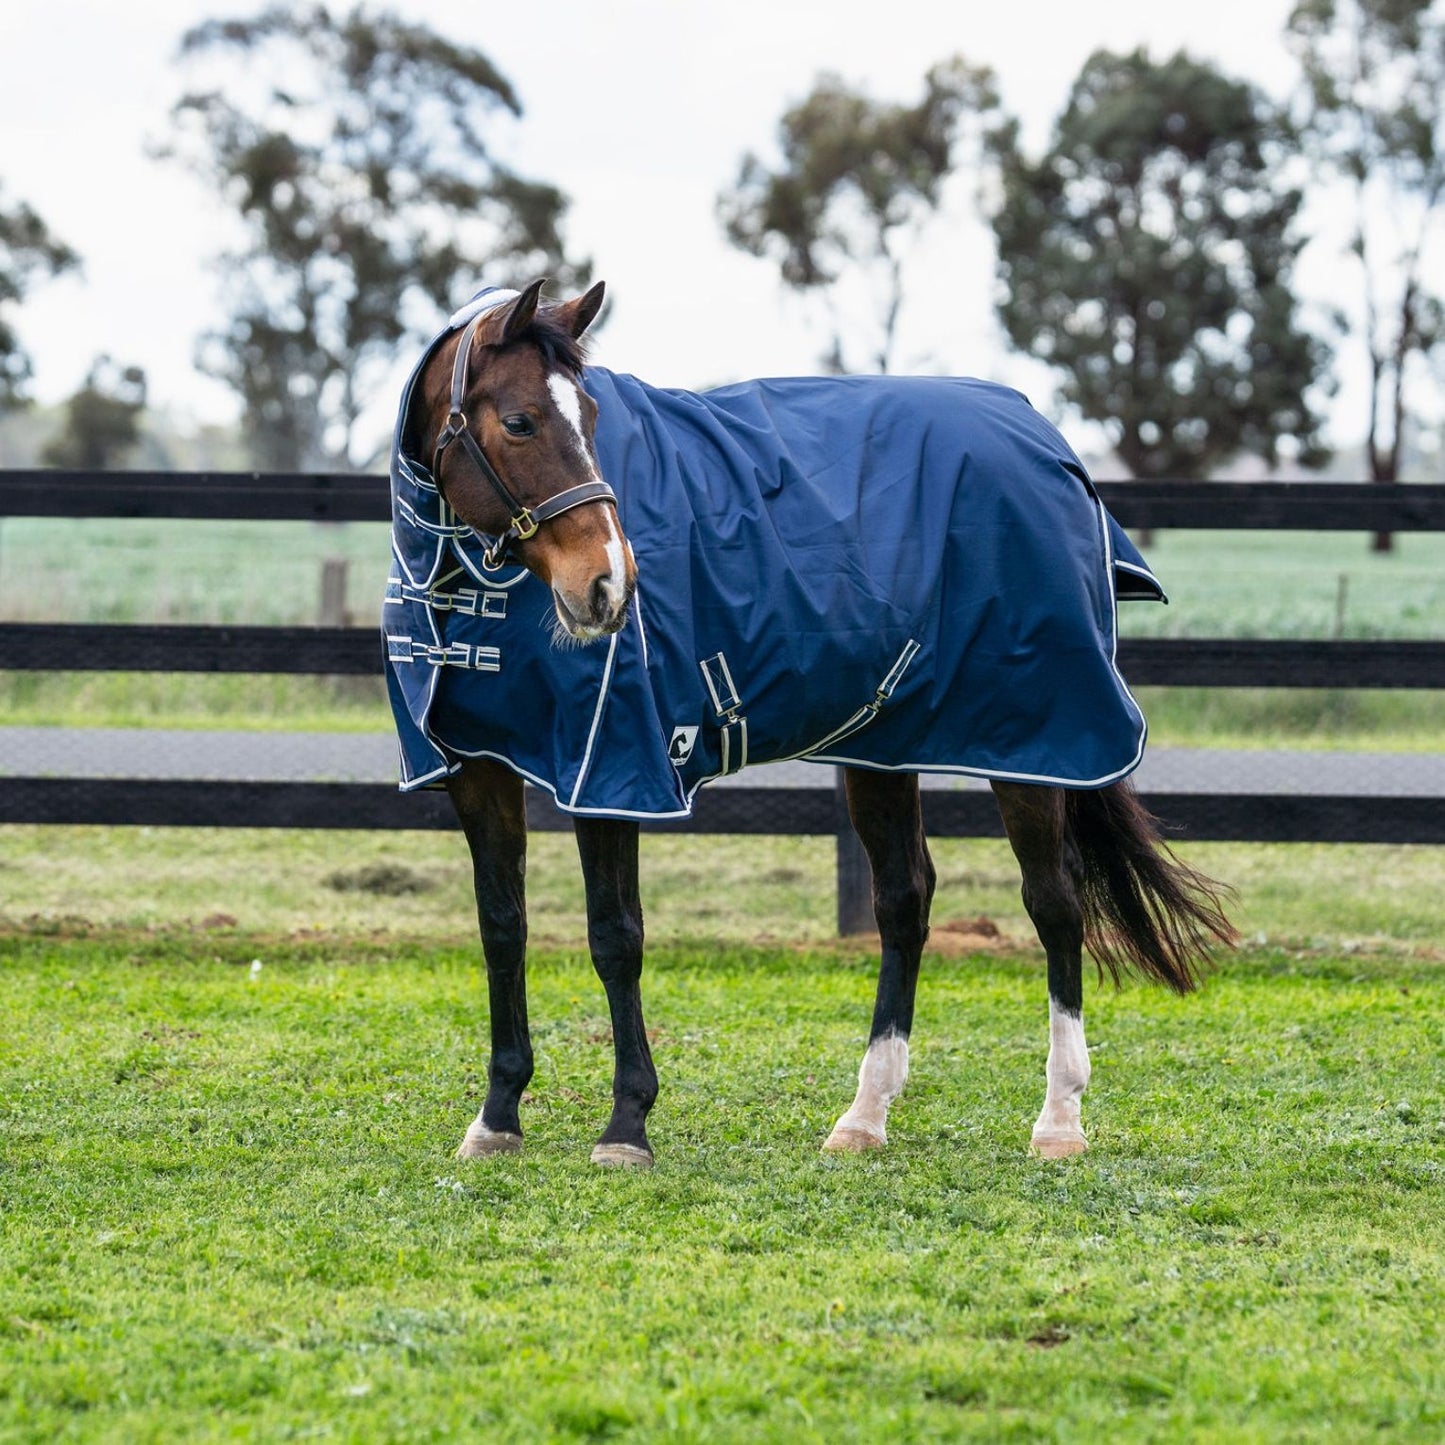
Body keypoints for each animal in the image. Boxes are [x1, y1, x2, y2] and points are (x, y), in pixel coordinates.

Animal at [385, 279, 1235, 1168]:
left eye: (588, 416)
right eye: (519, 422)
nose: (608, 585)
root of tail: (1049, 444)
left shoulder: (612, 768)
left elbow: (614, 936)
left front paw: (625, 1125)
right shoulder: (478, 769)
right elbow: (501, 928)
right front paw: (497, 1114)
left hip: (1035, 742)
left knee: (1055, 903)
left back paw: (1058, 1119)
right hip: (885, 745)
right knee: (904, 903)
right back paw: (863, 1115)